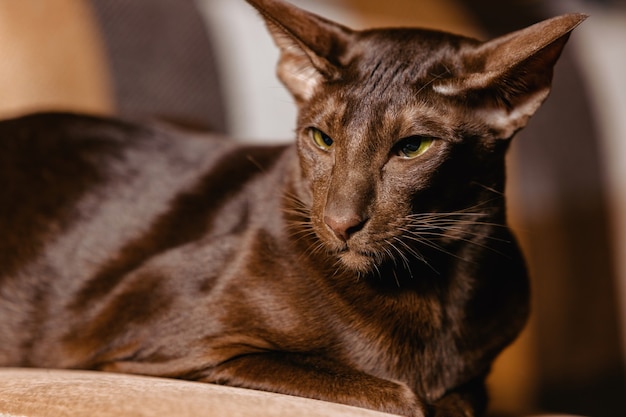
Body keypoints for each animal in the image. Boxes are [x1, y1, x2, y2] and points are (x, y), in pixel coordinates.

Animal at [1, 0, 584, 416]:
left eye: (413, 147)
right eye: (322, 139)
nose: (341, 223)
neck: (432, 289)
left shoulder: (475, 376)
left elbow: (462, 399)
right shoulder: (160, 349)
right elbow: (401, 395)